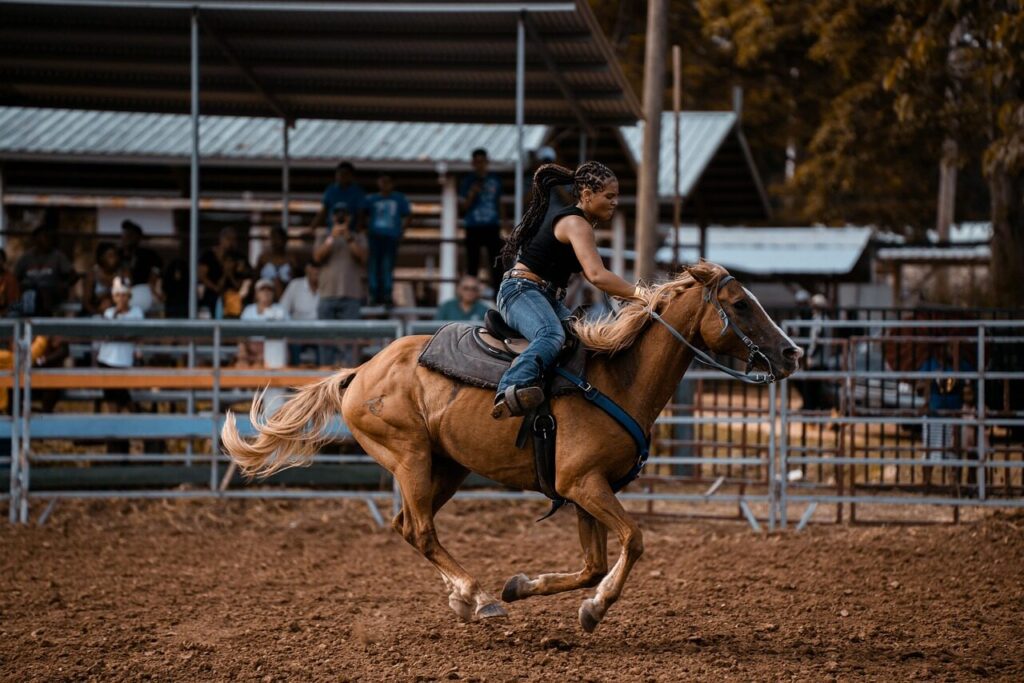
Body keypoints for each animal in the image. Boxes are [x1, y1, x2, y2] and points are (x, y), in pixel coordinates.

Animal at [220, 261, 802, 633]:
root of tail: (360, 371)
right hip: (409, 458)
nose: (792, 353)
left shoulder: (585, 491)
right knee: (422, 529)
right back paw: (477, 600)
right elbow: (634, 541)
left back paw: (467, 598)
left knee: (409, 527)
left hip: (447, 467)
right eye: (739, 304)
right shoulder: (583, 485)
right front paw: (594, 610)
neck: (617, 379)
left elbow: (593, 564)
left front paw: (522, 586)